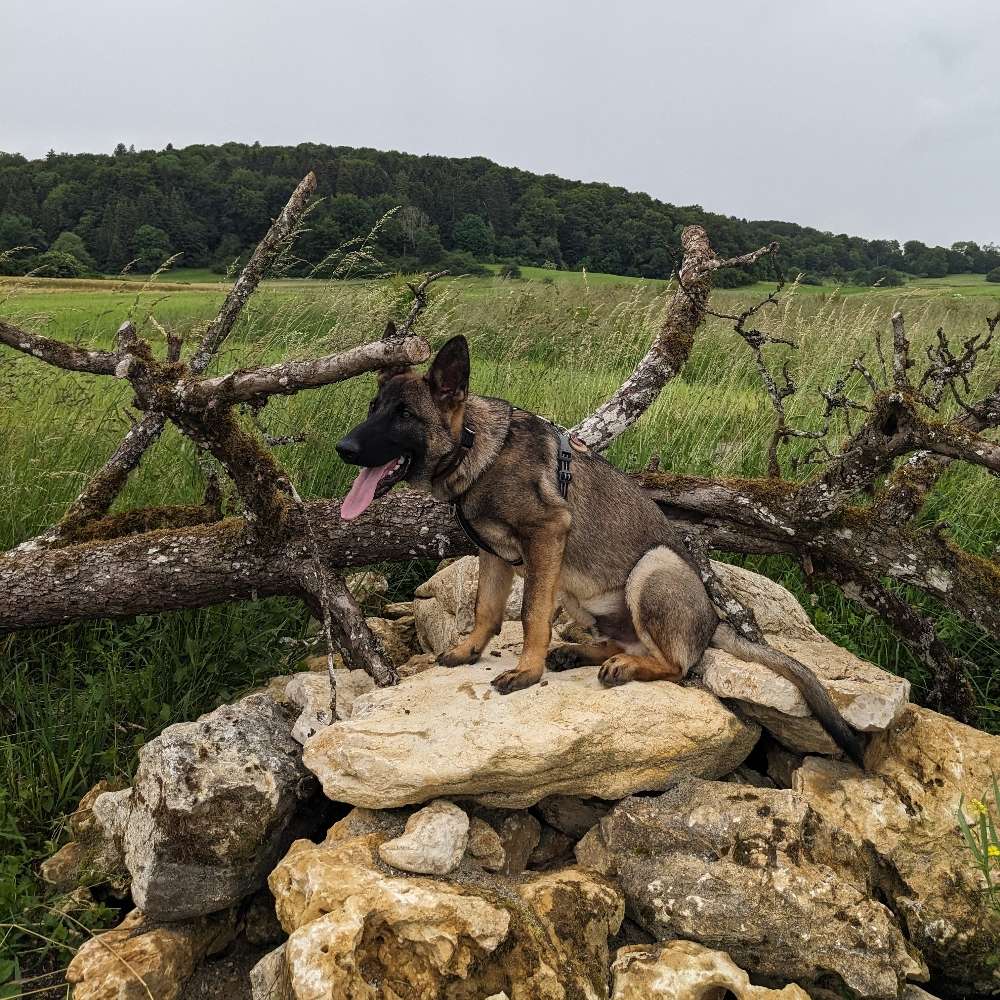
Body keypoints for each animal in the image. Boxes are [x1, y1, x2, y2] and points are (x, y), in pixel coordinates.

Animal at [338, 332, 868, 760]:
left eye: (404, 414)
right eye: (372, 408)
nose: (344, 449)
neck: (473, 446)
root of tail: (713, 621)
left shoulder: (546, 535)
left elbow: (530, 614)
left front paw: (526, 671)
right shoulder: (492, 553)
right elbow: (486, 609)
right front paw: (469, 650)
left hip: (652, 567)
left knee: (677, 666)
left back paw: (624, 666)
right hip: (577, 592)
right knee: (626, 639)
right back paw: (583, 653)